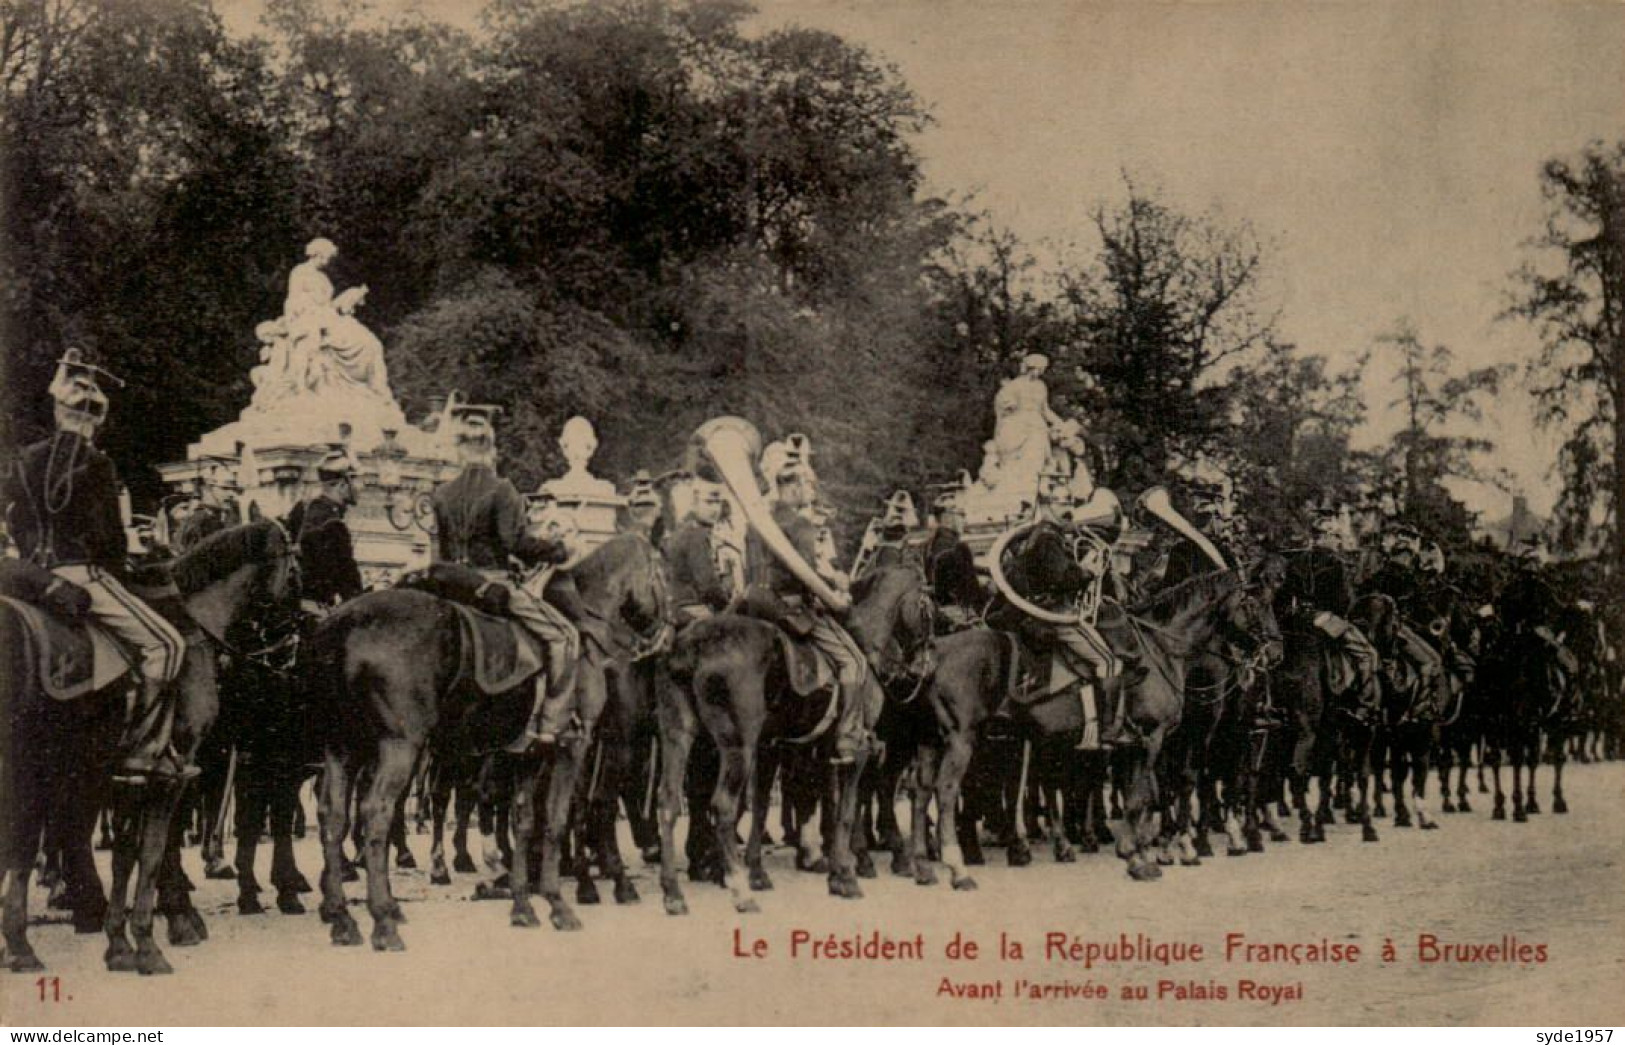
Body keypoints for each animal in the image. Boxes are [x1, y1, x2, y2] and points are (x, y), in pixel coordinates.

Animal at [0, 520, 295, 975]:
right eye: (296, 570)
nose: (292, 646)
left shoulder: (128, 773)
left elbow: (127, 851)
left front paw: (120, 940)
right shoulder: (175, 768)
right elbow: (155, 847)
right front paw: (159, 933)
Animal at [307, 536, 663, 955]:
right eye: (662, 572)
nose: (663, 630)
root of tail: (342, 625)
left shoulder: (529, 755)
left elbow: (524, 821)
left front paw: (524, 904)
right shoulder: (571, 748)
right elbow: (555, 820)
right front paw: (558, 904)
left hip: (344, 746)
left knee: (333, 817)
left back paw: (344, 919)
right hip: (398, 747)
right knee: (376, 812)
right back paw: (383, 921)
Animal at [656, 565, 936, 916]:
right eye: (929, 609)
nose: (927, 666)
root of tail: (695, 644)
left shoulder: (790, 748)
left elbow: (784, 805)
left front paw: (814, 872)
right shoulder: (856, 749)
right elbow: (846, 810)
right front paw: (847, 875)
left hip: (678, 736)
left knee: (668, 803)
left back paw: (673, 893)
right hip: (738, 745)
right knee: (722, 805)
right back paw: (739, 891)